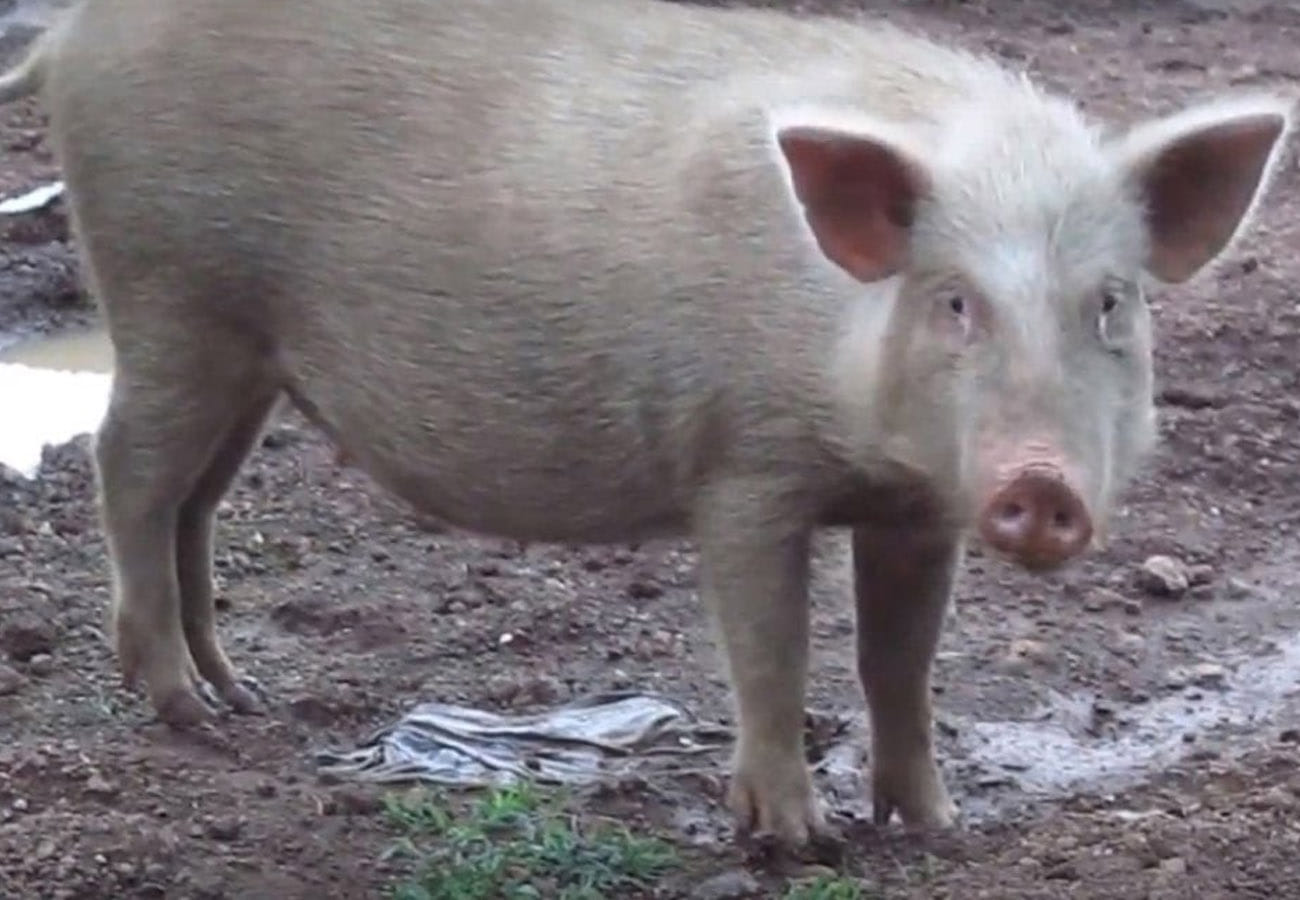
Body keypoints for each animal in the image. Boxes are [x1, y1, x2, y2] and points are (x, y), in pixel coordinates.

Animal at [0, 0, 1290, 850]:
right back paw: (185, 713)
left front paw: (936, 829)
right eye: (953, 301)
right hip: (170, 295)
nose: (1040, 485)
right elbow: (771, 651)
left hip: (247, 352)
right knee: (128, 471)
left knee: (198, 502)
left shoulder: (918, 509)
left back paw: (244, 696)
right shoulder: (743, 470)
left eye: (1109, 303)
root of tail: (70, 35)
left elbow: (899, 662)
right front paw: (795, 841)